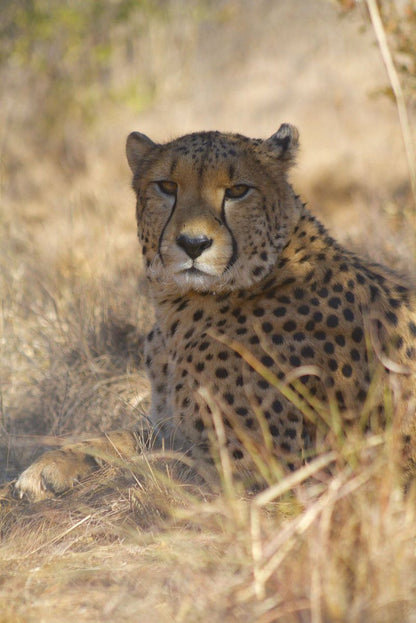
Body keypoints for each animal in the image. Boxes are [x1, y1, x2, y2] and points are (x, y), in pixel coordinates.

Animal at [14, 124, 416, 500]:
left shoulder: (264, 471)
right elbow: (124, 438)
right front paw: (51, 466)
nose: (193, 244)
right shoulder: (172, 425)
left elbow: (156, 464)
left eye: (237, 190)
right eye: (167, 186)